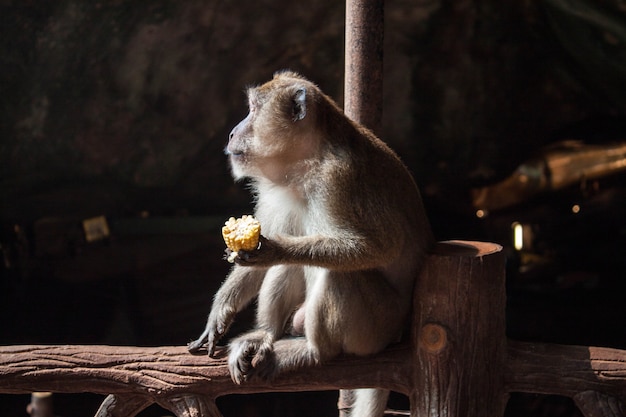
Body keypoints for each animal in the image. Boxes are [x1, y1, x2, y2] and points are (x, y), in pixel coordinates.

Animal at [188, 70, 432, 414]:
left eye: (253, 109)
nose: (233, 132)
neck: (304, 164)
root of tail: (397, 335)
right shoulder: (272, 190)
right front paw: (219, 312)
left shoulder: (339, 178)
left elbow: (380, 247)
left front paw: (273, 249)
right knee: (290, 266)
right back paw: (264, 335)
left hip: (375, 330)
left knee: (338, 274)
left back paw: (314, 352)